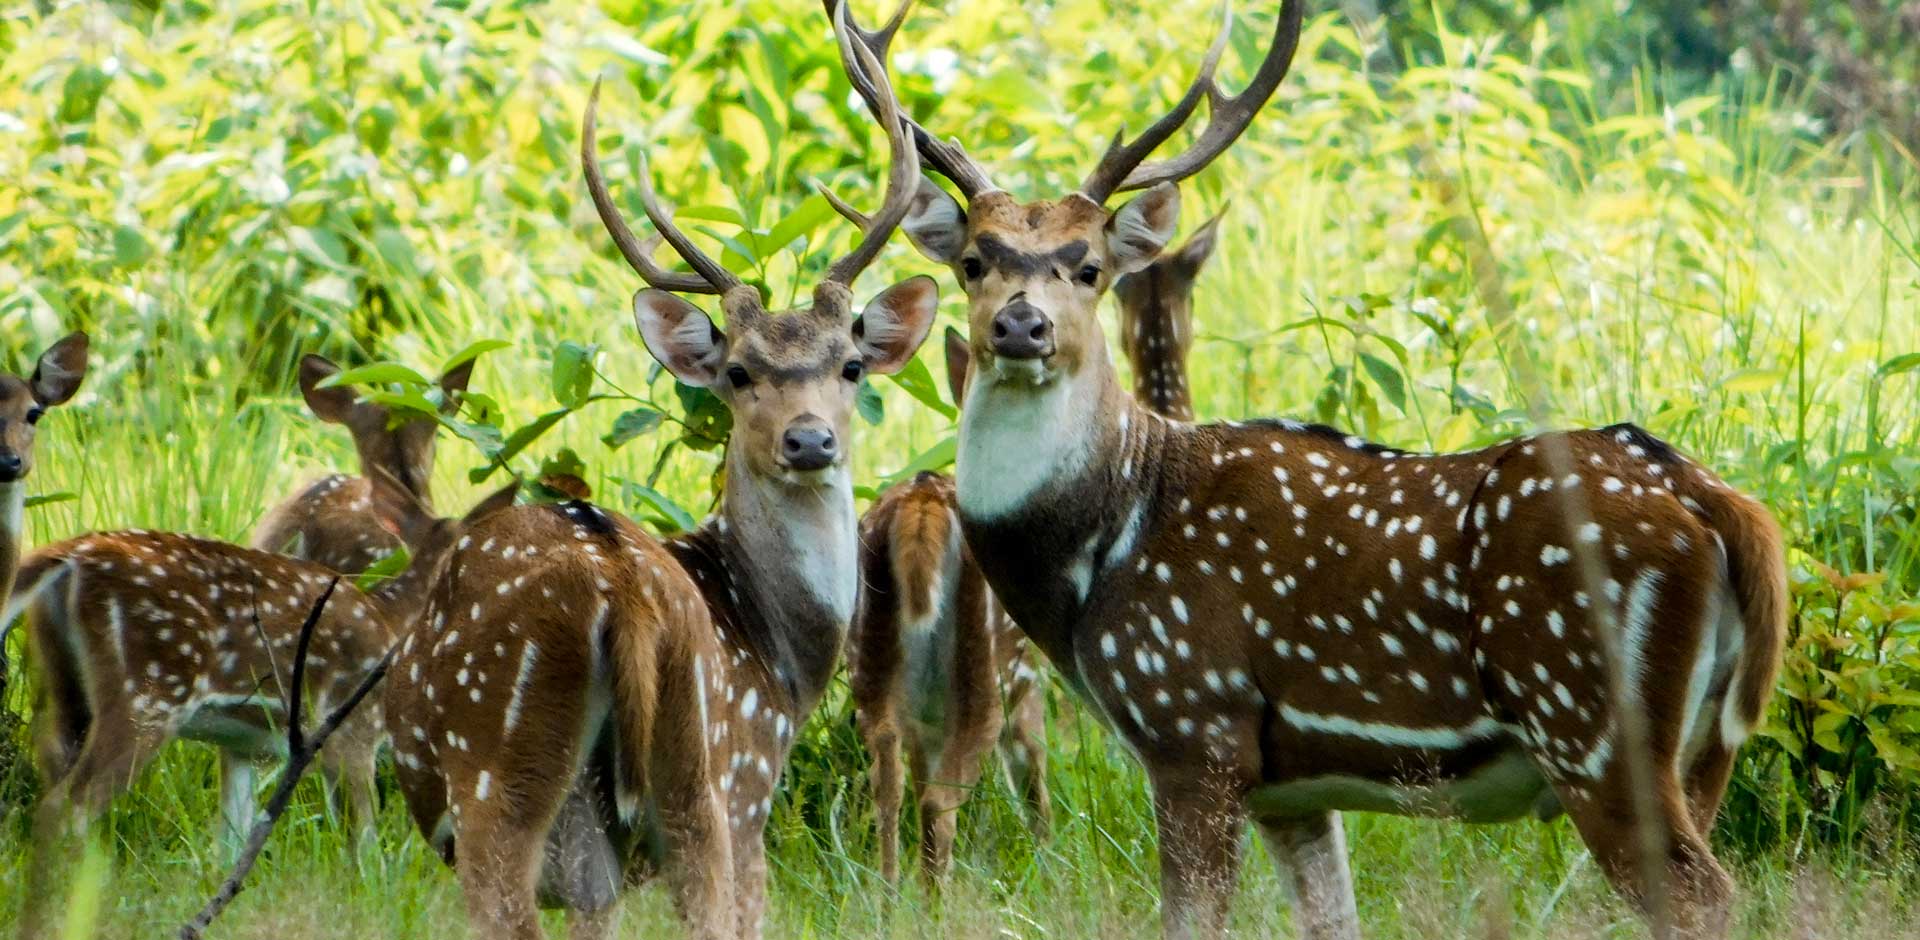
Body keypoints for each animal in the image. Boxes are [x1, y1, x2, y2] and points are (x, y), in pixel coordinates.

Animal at [376, 16, 936, 940]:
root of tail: (623, 594)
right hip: (687, 778)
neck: (783, 659)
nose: (809, 439)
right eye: (739, 372)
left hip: (536, 763)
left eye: (852, 365)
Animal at [856, 326, 1059, 886]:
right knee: (939, 803)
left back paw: (889, 894)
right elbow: (1033, 779)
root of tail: (920, 505)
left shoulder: (926, 720)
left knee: (890, 783)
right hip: (985, 673)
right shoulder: (1029, 679)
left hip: (873, 668)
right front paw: (1056, 872)